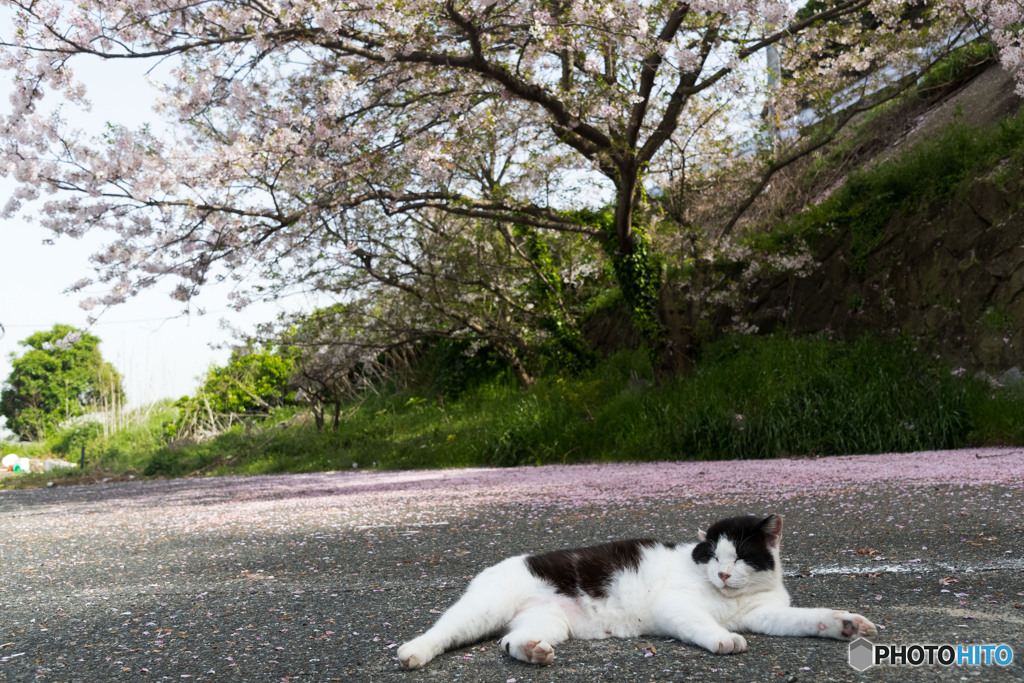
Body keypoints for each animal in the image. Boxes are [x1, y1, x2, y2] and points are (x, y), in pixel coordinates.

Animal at [395, 511, 876, 667]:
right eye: (712, 557)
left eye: (739, 557)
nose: (722, 574)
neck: (728, 599)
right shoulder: (675, 609)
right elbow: (704, 625)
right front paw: (723, 639)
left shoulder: (764, 614)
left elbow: (807, 619)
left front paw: (846, 624)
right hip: (481, 609)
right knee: (442, 632)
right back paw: (412, 653)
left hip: (547, 623)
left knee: (510, 641)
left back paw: (532, 651)